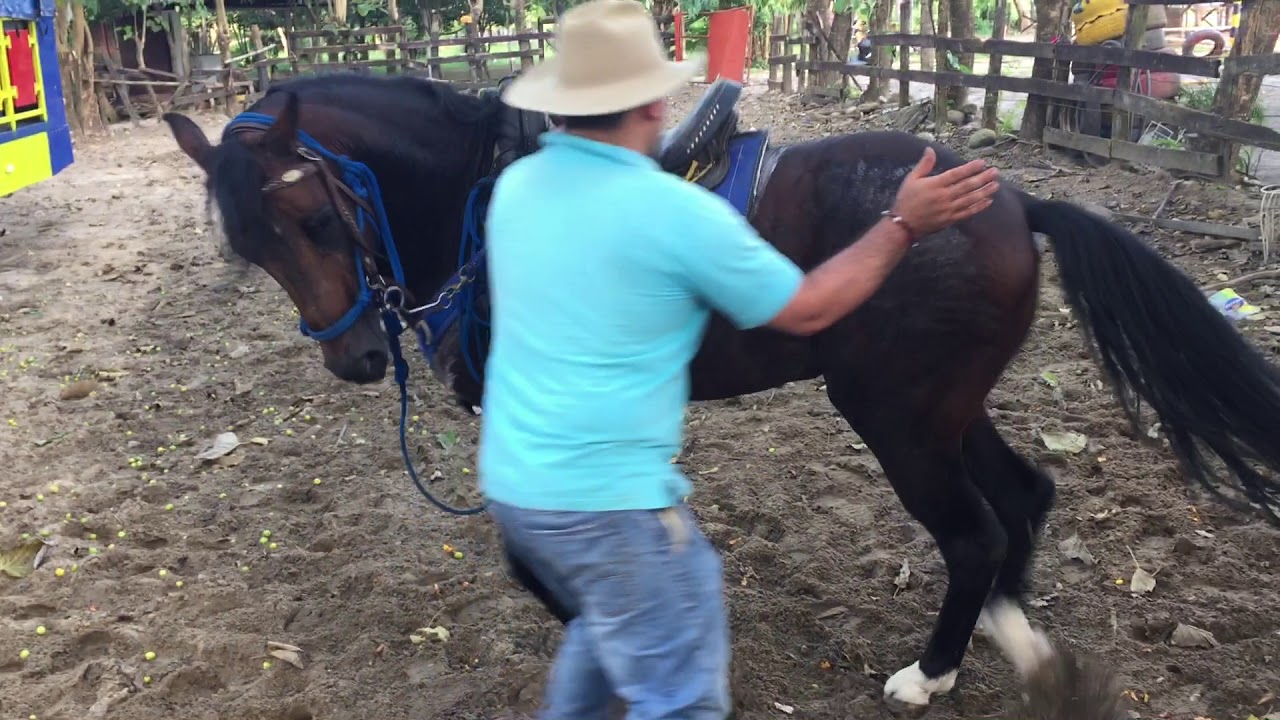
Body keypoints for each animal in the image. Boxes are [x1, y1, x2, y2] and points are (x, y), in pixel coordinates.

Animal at [163, 73, 1280, 713]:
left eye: (314, 218)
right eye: (251, 244)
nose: (352, 358)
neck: (485, 198)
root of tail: (1011, 198)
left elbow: (546, 561)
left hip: (898, 416)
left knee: (974, 532)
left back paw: (932, 673)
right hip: (942, 408)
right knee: (1021, 500)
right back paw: (1011, 641)